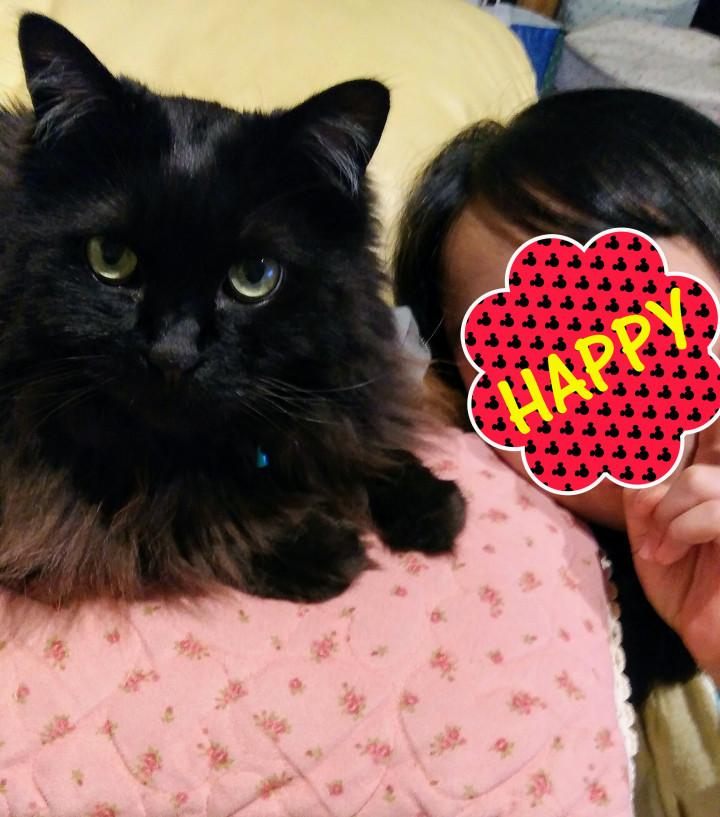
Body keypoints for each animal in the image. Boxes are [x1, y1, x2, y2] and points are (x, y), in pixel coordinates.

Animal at [0, 13, 466, 606]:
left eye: (254, 276)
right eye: (110, 258)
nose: (172, 355)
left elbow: (347, 436)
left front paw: (423, 498)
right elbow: (185, 506)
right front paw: (315, 545)